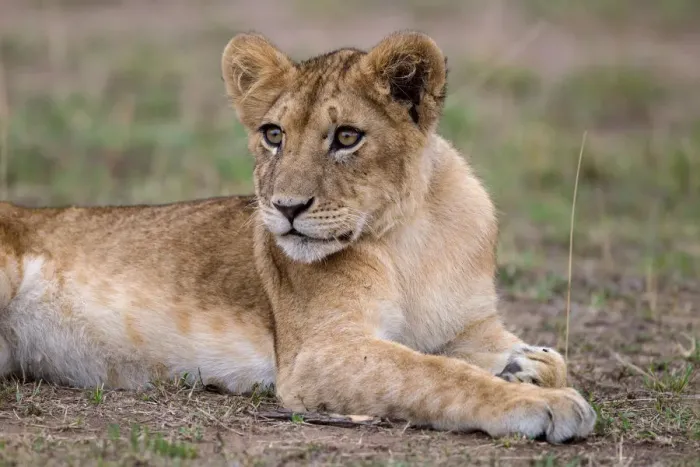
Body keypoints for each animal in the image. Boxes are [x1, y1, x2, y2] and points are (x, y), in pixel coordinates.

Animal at [0, 31, 595, 443]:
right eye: (273, 134)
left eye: (348, 137)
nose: (287, 208)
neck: (412, 236)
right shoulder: (319, 353)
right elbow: (438, 374)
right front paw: (543, 403)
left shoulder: (469, 323)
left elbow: (540, 356)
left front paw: (527, 366)